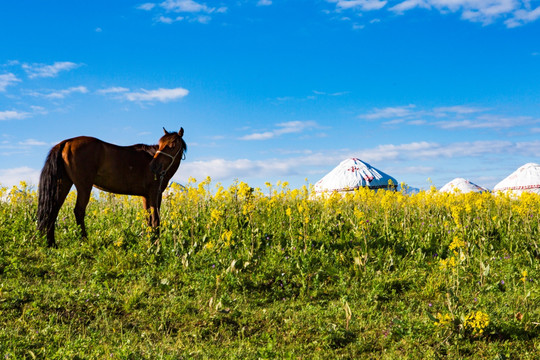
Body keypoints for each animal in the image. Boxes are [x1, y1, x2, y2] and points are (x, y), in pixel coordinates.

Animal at [37, 127, 187, 248]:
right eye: (160, 144)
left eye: (173, 145)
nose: (154, 166)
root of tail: (67, 142)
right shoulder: (155, 193)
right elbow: (156, 220)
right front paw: (156, 244)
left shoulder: (146, 196)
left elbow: (148, 219)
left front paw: (149, 241)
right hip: (84, 186)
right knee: (78, 211)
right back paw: (84, 241)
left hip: (64, 184)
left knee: (54, 210)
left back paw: (52, 243)